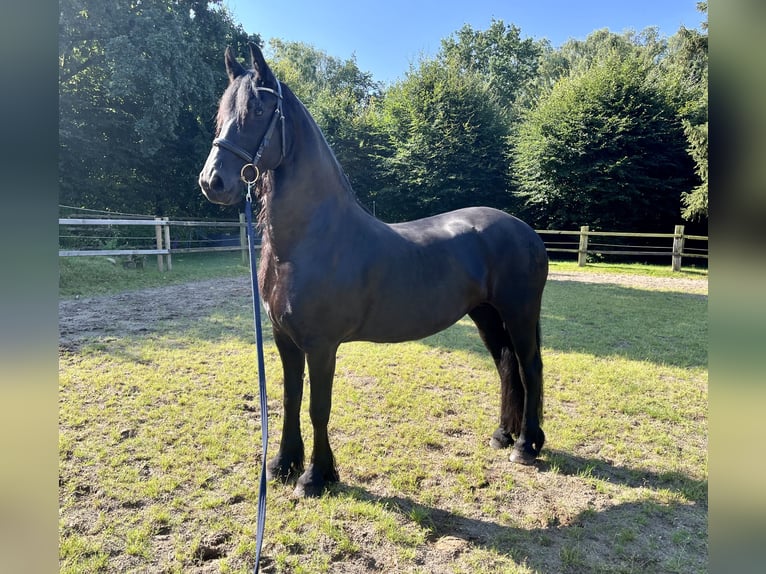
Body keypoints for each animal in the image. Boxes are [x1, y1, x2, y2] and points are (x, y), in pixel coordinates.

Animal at [198, 44, 544, 500]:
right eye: (221, 113)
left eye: (257, 109)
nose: (212, 182)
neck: (309, 241)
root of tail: (526, 231)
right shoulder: (284, 340)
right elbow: (290, 400)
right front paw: (282, 465)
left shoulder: (321, 345)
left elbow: (318, 407)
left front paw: (315, 476)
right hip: (485, 313)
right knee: (507, 366)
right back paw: (503, 435)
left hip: (519, 311)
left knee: (529, 366)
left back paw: (526, 445)